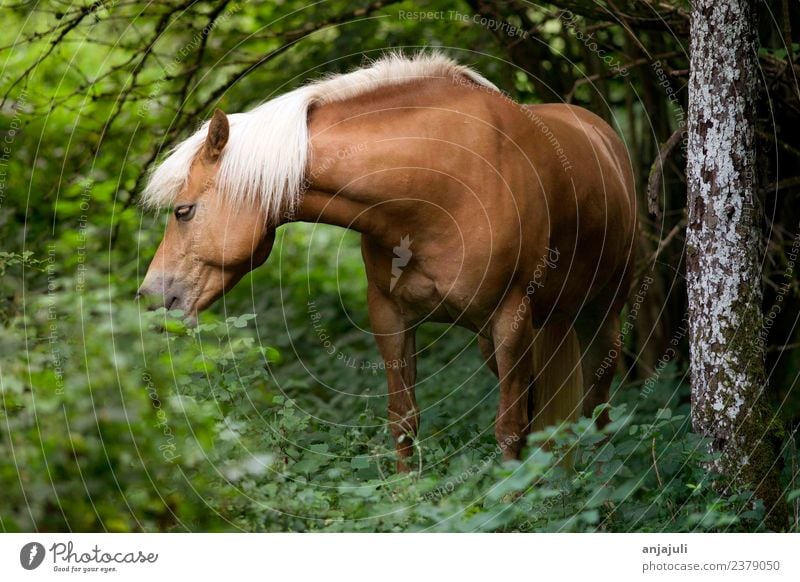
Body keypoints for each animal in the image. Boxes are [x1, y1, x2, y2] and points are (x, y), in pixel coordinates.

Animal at [139, 52, 636, 474]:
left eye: (183, 211)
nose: (150, 295)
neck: (437, 186)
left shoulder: (510, 318)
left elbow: (509, 428)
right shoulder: (391, 316)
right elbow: (404, 420)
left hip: (598, 313)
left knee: (598, 402)